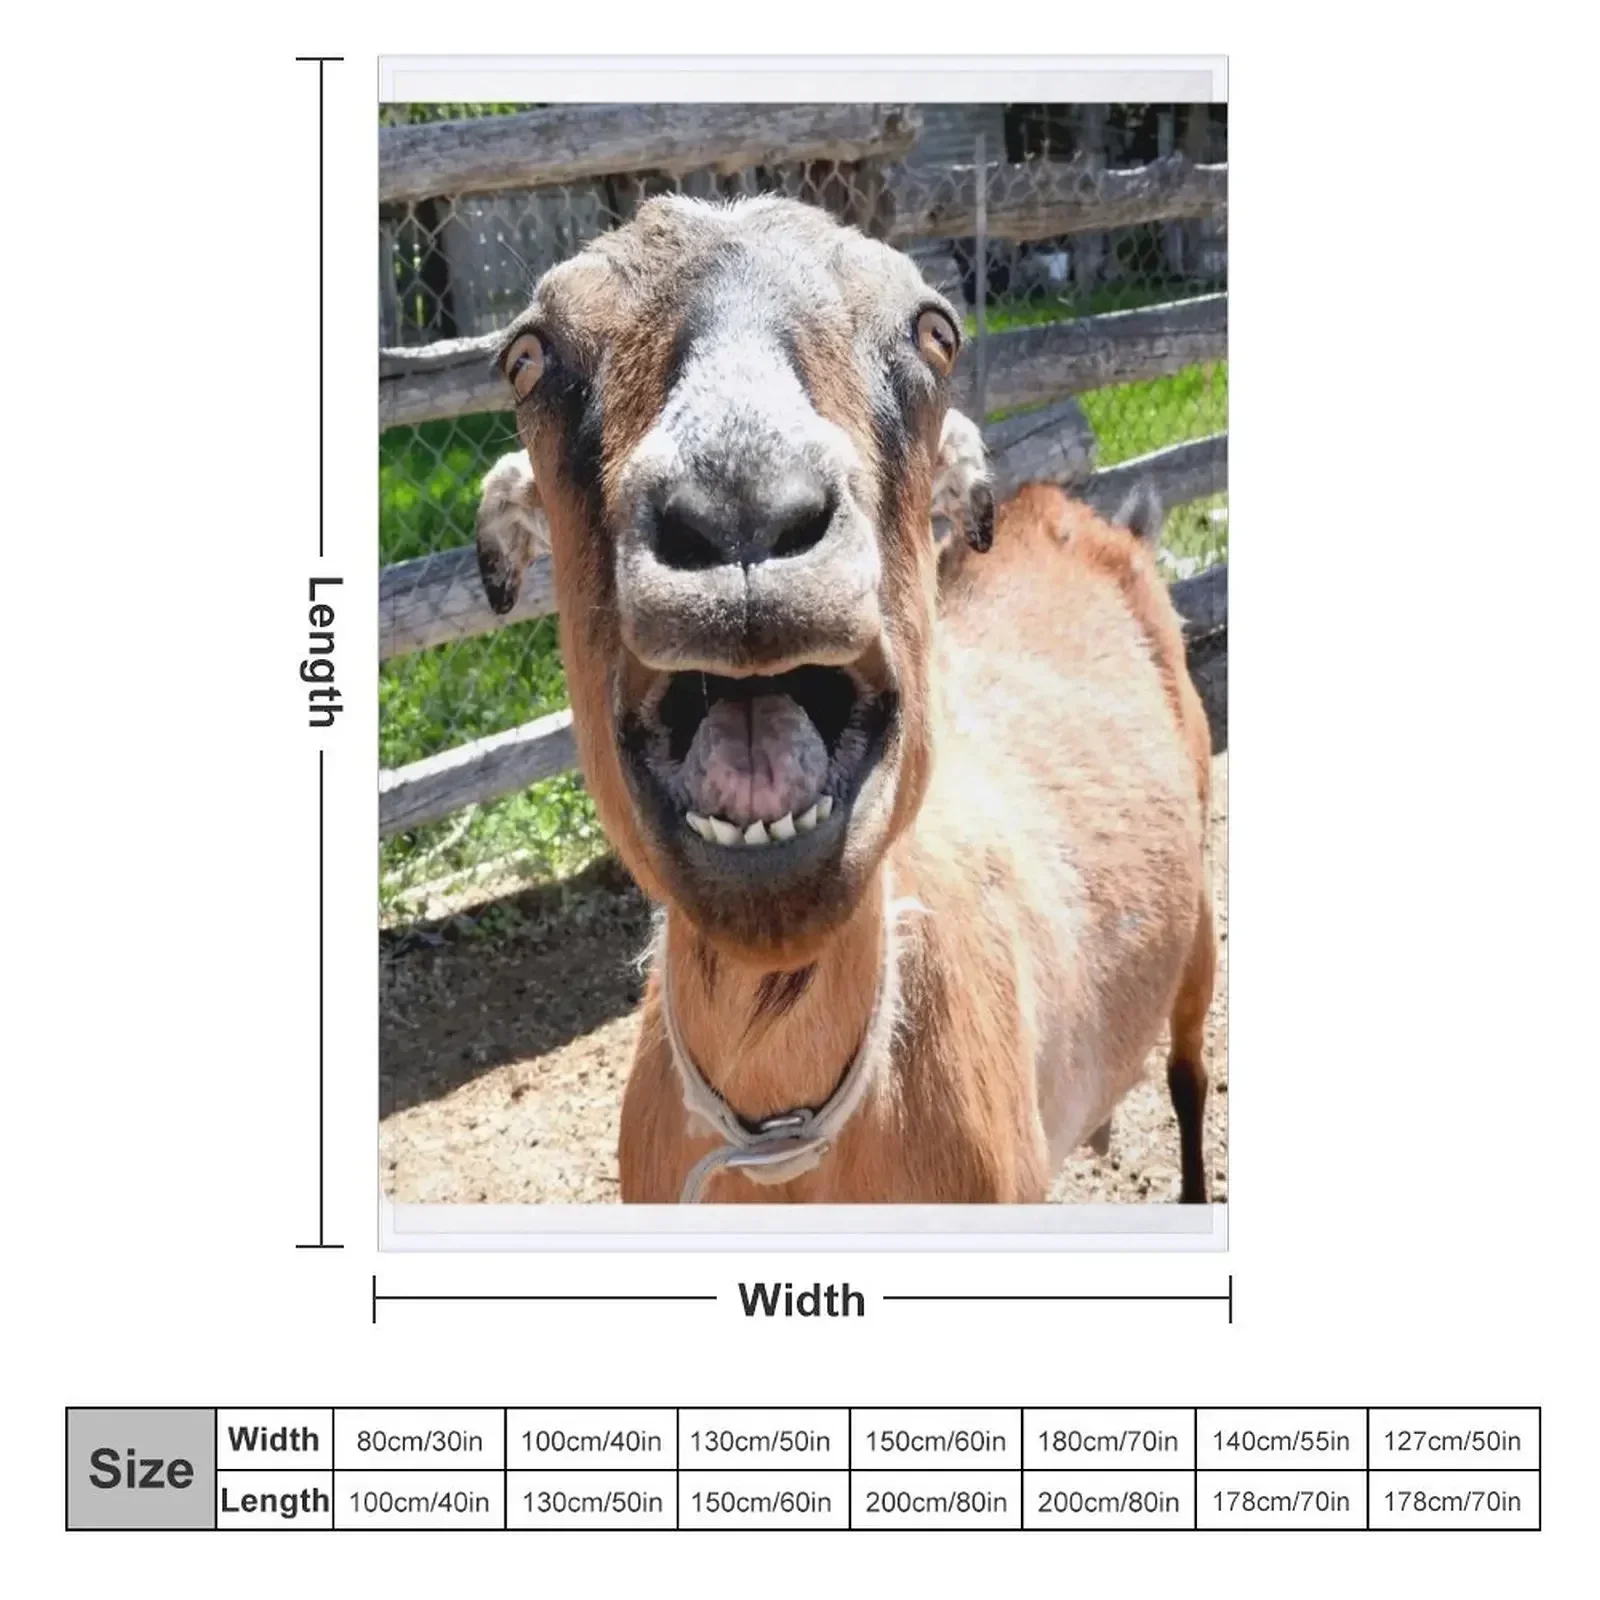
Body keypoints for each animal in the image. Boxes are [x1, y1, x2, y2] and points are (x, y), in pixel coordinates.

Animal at [474, 195, 1216, 1204]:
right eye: (527, 355)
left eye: (934, 332)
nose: (742, 508)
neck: (786, 1146)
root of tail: (1084, 516)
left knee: (1189, 1070)